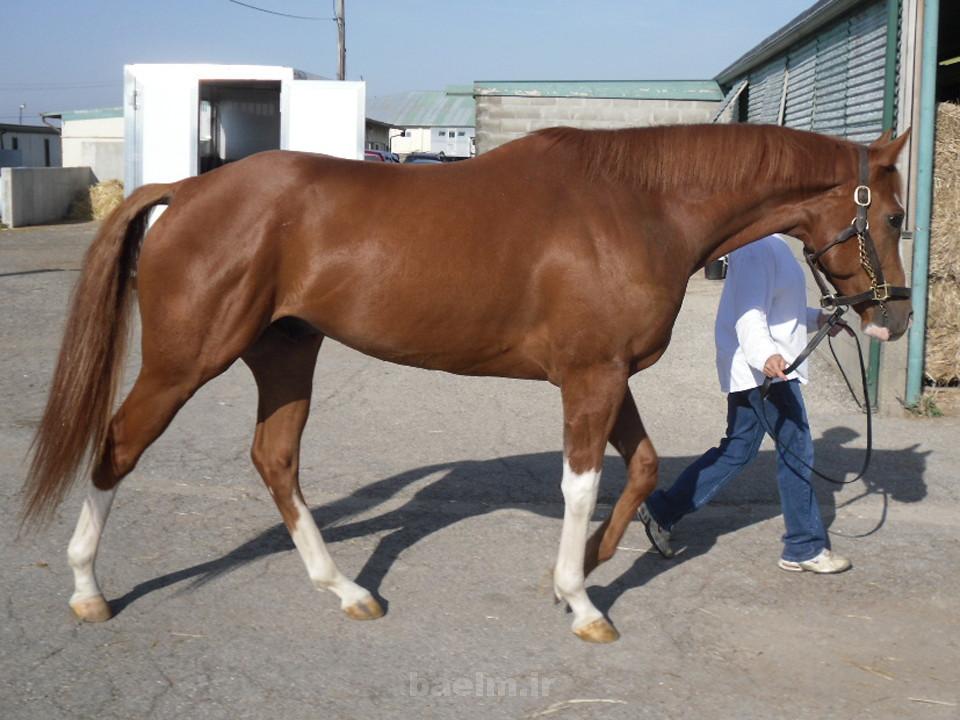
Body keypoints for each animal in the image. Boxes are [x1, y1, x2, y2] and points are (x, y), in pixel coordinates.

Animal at [22, 123, 912, 643]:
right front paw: (581, 599)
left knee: (275, 460)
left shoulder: (607, 375)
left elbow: (644, 468)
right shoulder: (589, 379)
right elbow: (583, 484)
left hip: (285, 353)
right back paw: (88, 589)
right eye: (897, 216)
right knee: (117, 445)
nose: (895, 317)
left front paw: (586, 568)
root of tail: (189, 190)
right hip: (186, 360)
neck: (638, 206)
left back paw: (345, 589)